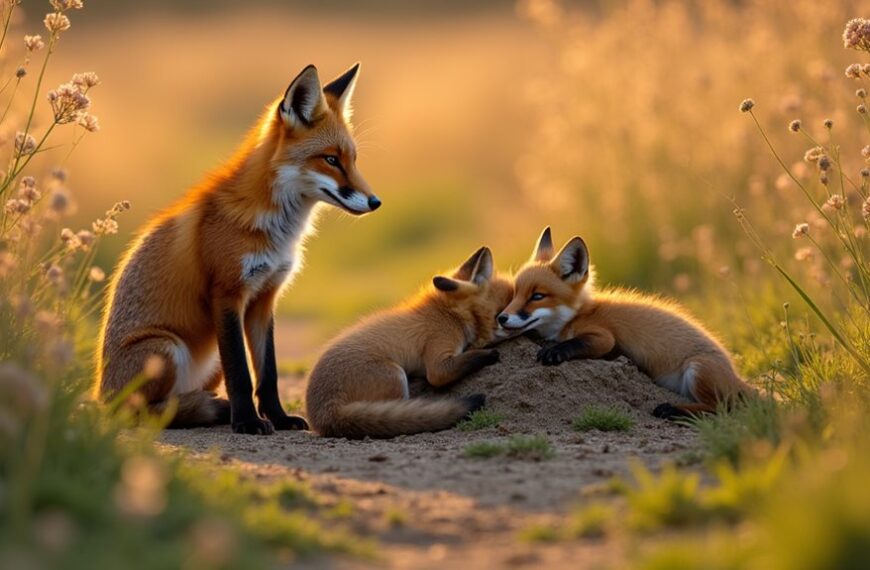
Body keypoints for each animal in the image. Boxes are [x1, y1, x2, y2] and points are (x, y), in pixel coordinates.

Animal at [97, 63, 380, 435]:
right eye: (331, 159)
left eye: (354, 160)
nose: (375, 202)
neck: (275, 228)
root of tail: (99, 396)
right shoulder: (227, 294)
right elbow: (242, 375)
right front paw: (246, 420)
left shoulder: (264, 299)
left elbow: (268, 373)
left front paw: (277, 418)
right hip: (165, 348)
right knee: (144, 412)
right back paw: (208, 411)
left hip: (207, 359)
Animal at [305, 246, 513, 439]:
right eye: (500, 315)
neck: (449, 313)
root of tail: (323, 415)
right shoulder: (439, 356)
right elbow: (444, 371)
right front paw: (489, 352)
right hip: (395, 375)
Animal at [497, 227, 752, 419]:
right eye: (514, 295)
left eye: (537, 296)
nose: (501, 317)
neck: (576, 316)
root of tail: (738, 379)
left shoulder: (604, 337)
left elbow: (576, 342)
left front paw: (555, 350)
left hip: (698, 368)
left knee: (721, 408)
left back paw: (672, 409)